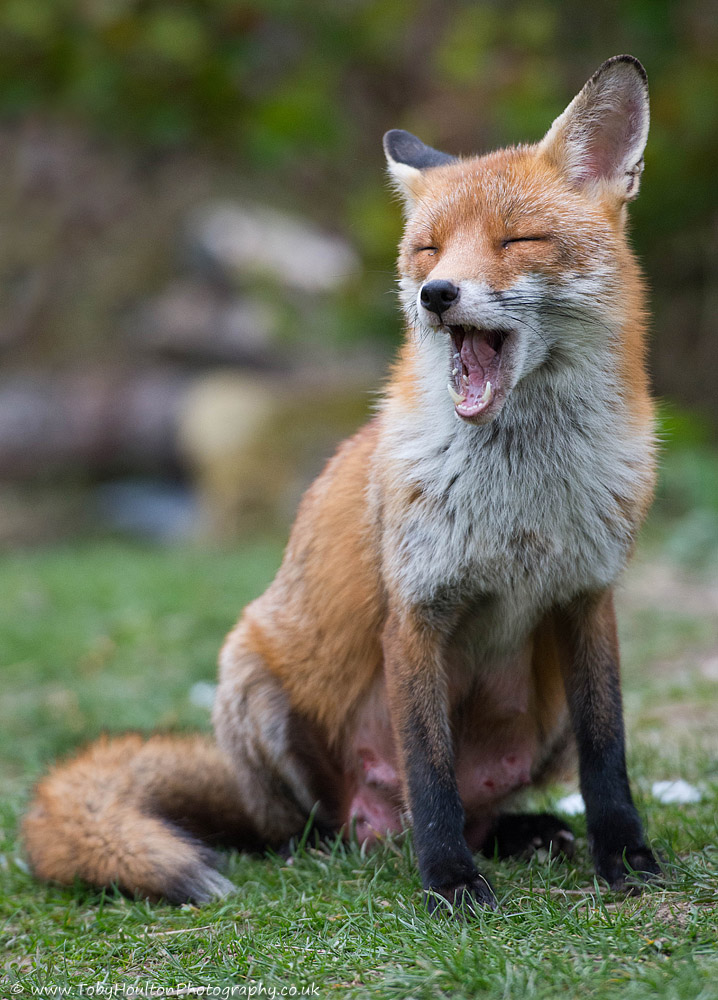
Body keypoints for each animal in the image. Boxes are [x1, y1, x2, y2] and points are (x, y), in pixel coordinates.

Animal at [23, 56, 664, 916]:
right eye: (428, 251)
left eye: (517, 239)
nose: (437, 295)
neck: (522, 497)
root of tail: (374, 822)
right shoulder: (416, 610)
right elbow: (430, 772)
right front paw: (449, 881)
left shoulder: (589, 601)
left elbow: (609, 755)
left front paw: (625, 856)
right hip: (253, 680)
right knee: (317, 826)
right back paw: (354, 844)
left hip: (546, 707)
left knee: (480, 806)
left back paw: (523, 833)